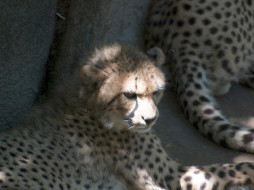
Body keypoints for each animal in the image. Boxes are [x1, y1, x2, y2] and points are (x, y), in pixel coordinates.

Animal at [0, 43, 254, 189]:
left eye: (157, 91)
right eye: (130, 94)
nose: (150, 120)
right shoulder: (171, 176)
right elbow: (224, 168)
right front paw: (249, 168)